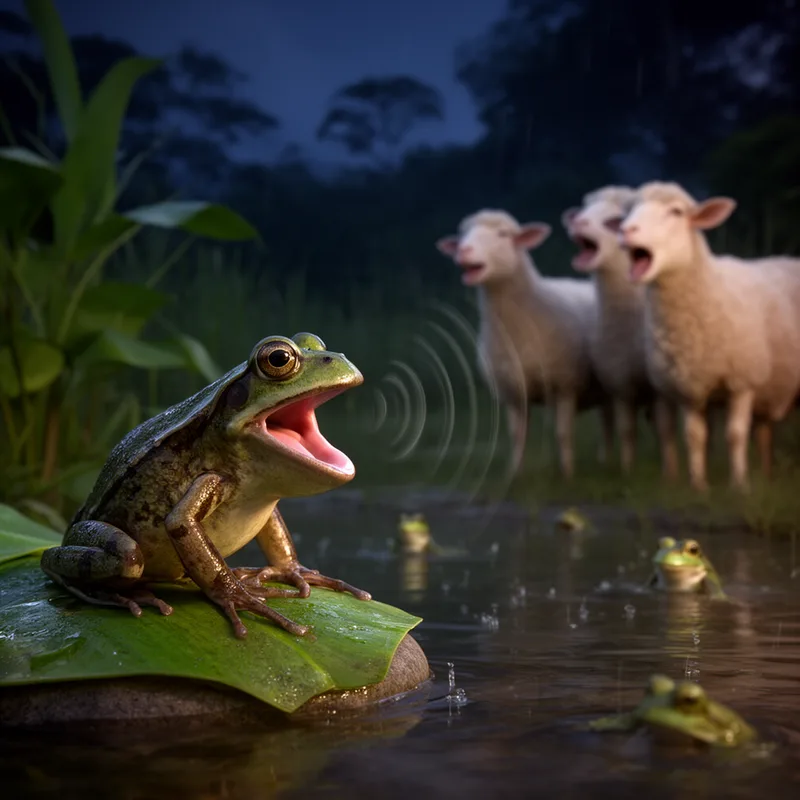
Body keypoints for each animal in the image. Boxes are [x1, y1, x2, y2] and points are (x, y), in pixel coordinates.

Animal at [435, 209, 611, 479]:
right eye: (463, 234)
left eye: (503, 234)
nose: (463, 251)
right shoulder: (513, 392)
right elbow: (517, 437)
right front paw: (514, 475)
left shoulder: (565, 385)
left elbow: (563, 433)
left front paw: (568, 474)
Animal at [562, 186, 680, 480]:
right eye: (585, 208)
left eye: (613, 220)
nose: (577, 222)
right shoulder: (619, 384)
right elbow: (627, 431)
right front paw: (628, 471)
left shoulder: (659, 389)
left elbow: (666, 430)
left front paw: (670, 474)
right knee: (608, 423)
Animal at [619, 181, 800, 492]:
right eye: (630, 209)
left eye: (676, 212)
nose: (625, 230)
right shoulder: (689, 387)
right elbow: (694, 437)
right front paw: (698, 485)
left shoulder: (743, 382)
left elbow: (735, 435)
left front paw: (739, 485)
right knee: (764, 432)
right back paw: (767, 475)